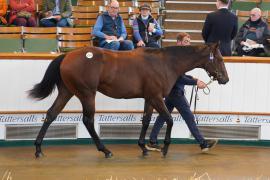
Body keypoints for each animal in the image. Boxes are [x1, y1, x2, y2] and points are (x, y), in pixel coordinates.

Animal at [29, 43, 228, 158]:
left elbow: (146, 121)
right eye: (219, 58)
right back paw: (105, 150)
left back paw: (38, 149)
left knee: (51, 114)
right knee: (88, 121)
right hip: (87, 94)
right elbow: (169, 120)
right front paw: (164, 148)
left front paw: (144, 148)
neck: (165, 63)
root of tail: (67, 55)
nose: (225, 79)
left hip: (67, 92)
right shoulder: (156, 97)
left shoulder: (149, 98)